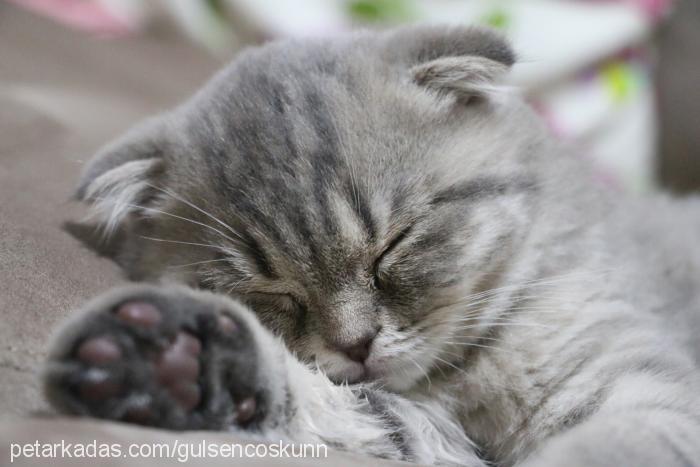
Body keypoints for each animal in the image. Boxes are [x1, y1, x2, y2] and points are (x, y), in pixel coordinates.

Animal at [42, 26, 700, 467]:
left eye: (394, 246)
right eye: (270, 289)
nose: (356, 343)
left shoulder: (644, 391)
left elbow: (609, 445)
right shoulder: (437, 433)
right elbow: (339, 403)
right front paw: (170, 360)